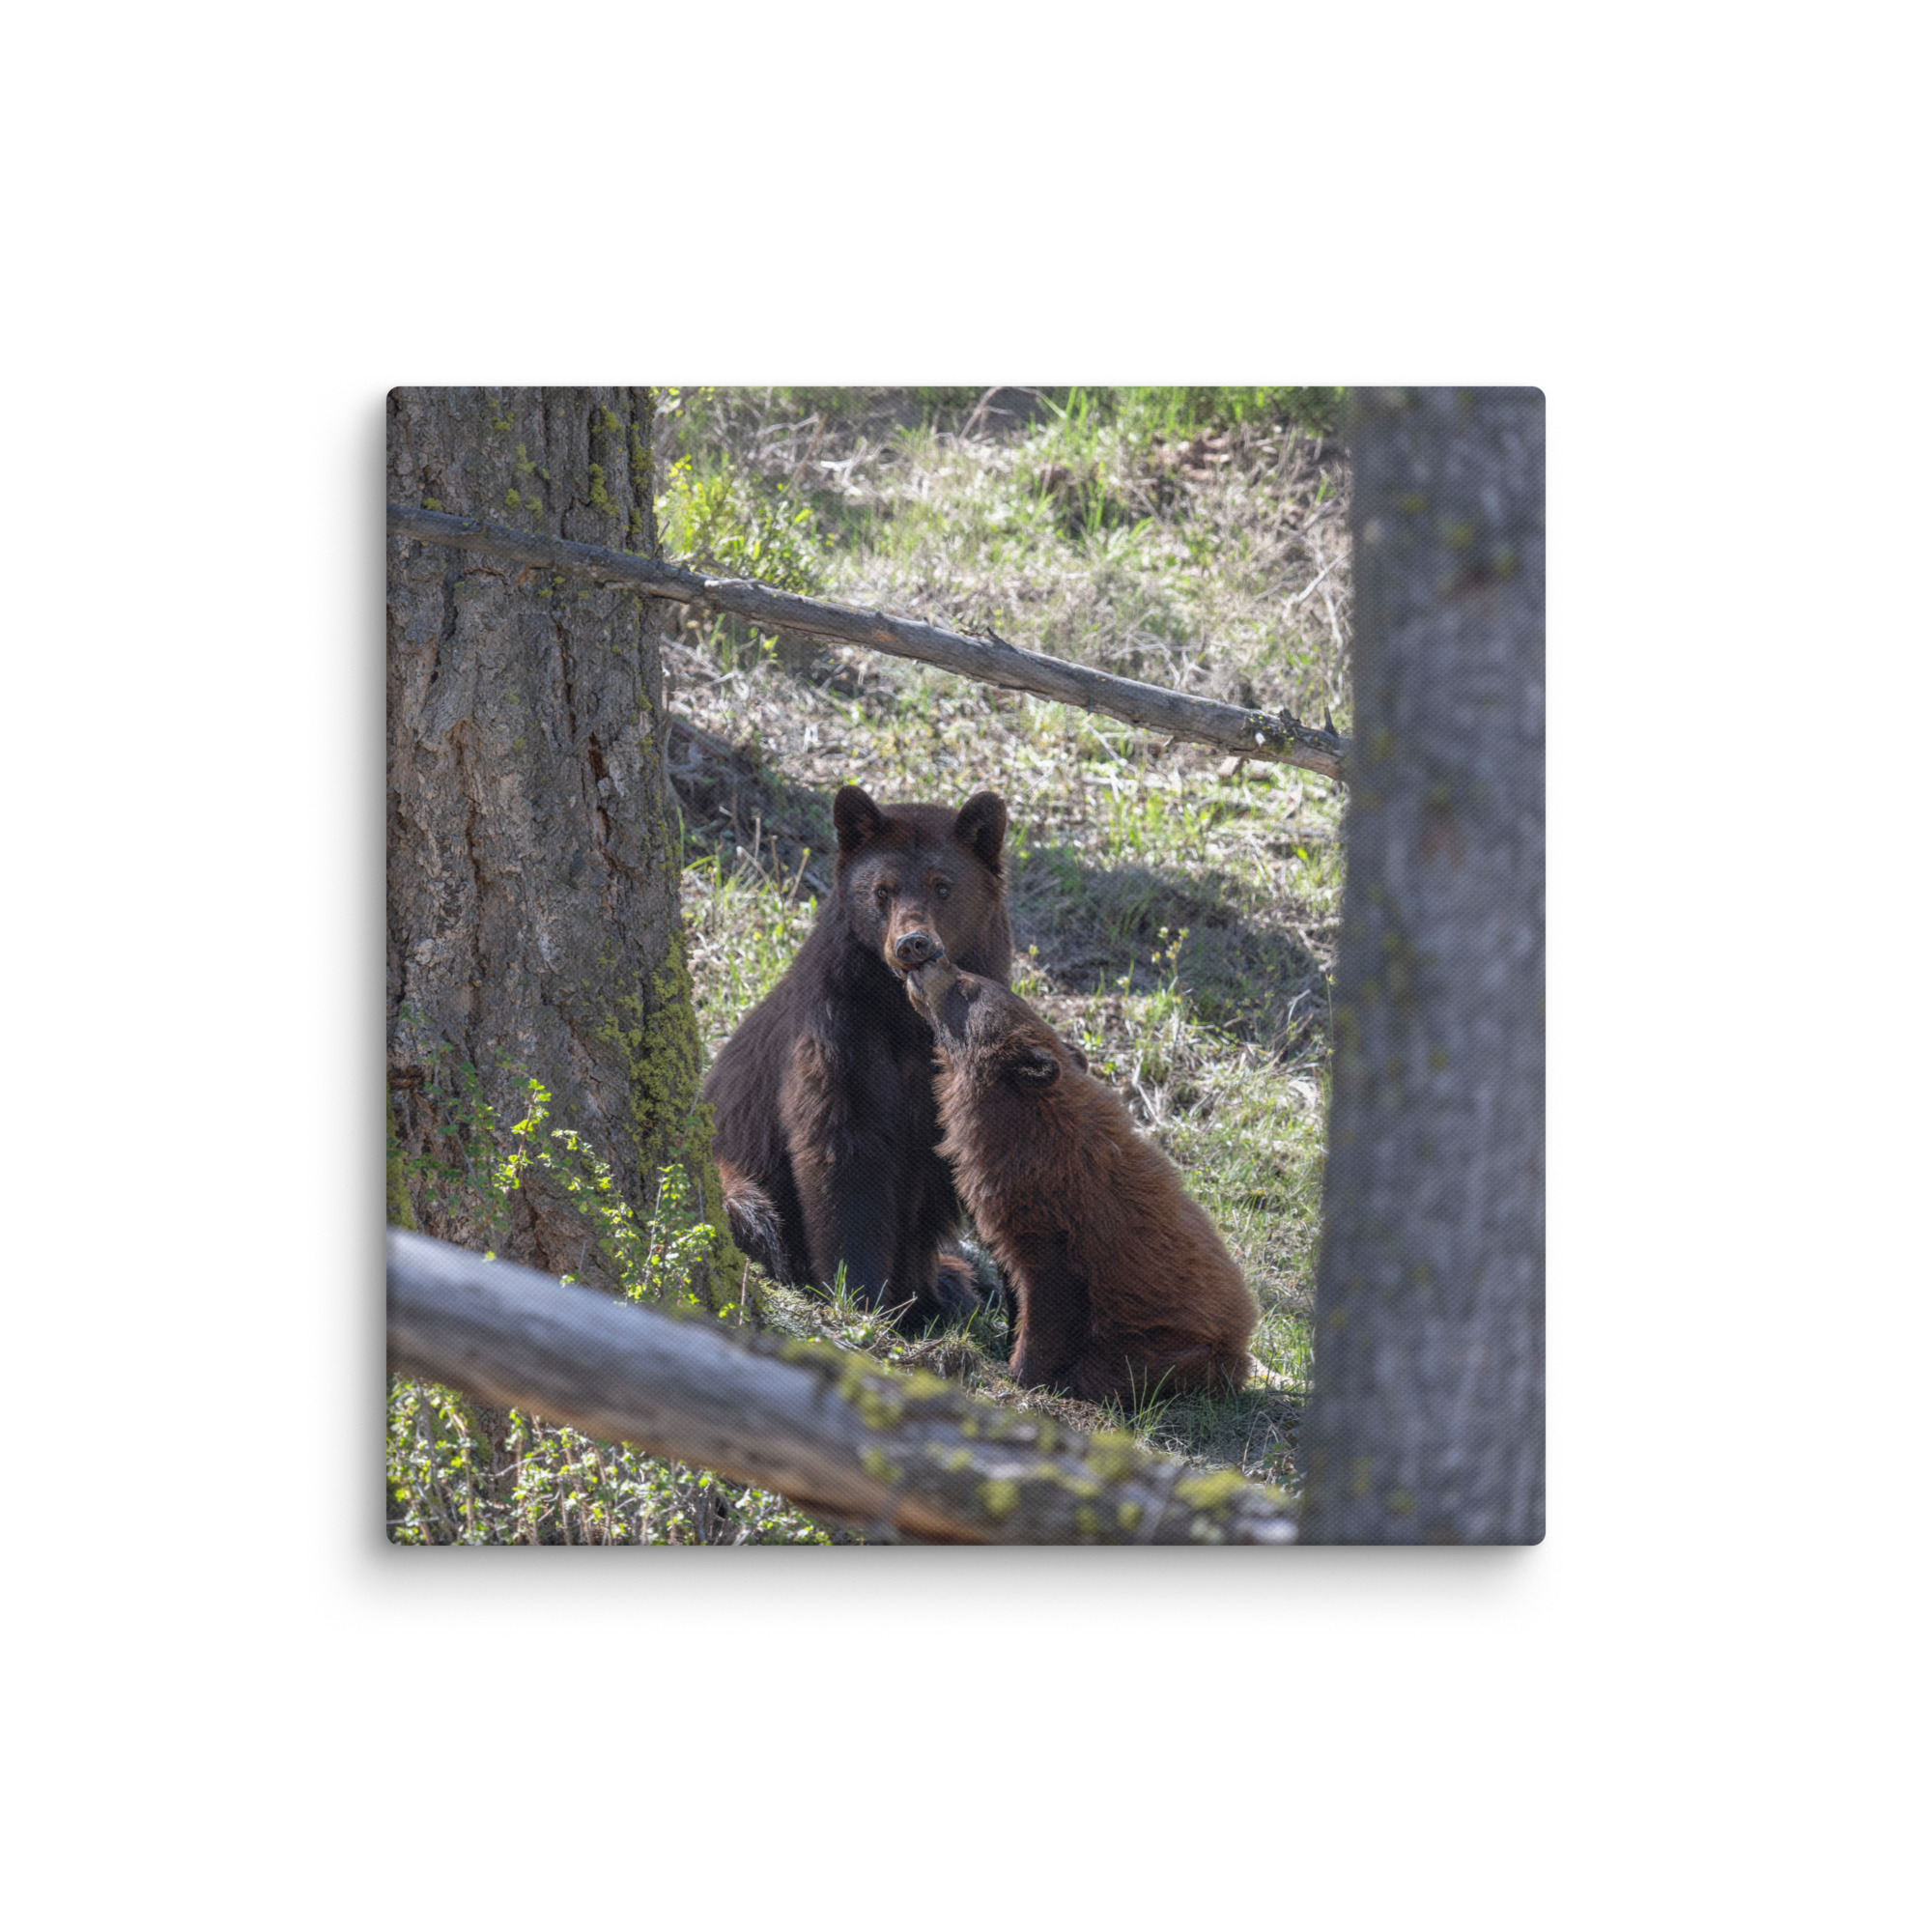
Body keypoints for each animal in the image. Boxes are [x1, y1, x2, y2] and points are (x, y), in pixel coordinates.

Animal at [702, 783, 1013, 1330]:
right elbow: (843, 1151)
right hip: (733, 1175)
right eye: (882, 890)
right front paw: (861, 1293)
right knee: (752, 1211)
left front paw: (926, 1294)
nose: (913, 943)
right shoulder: (838, 1031)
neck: (907, 1016)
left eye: (943, 887)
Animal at [901, 941, 1258, 1406]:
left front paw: (1022, 1372)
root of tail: (1241, 1346)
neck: (1025, 1127)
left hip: (1172, 1347)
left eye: (967, 986)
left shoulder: (1057, 1221)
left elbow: (1049, 1299)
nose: (933, 956)